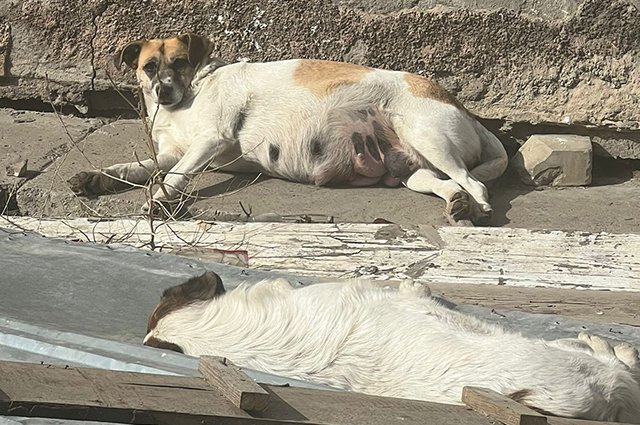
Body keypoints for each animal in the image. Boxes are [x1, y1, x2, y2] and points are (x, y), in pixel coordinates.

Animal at [69, 32, 510, 224]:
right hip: (411, 171)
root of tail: (468, 113)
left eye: (179, 62)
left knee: (474, 182)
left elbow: (173, 176)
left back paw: (479, 209)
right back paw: (457, 206)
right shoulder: (170, 152)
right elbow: (135, 168)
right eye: (148, 67)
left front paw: (160, 199)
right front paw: (97, 178)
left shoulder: (208, 142)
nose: (163, 91)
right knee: (448, 185)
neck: (191, 93)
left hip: (428, 137)